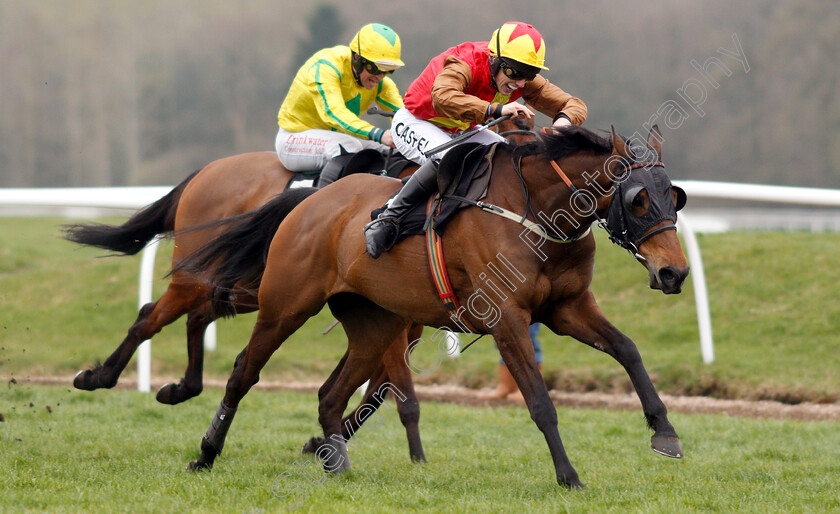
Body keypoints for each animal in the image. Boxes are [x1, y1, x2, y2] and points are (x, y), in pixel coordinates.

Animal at [184, 122, 688, 486]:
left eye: (675, 197)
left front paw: (665, 432)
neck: (536, 213)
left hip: (375, 324)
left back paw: (335, 462)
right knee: (243, 371)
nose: (675, 273)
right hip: (284, 306)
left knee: (331, 393)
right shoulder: (507, 318)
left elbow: (627, 350)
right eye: (638, 198)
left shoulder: (568, 308)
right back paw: (206, 453)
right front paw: (568, 476)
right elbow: (540, 401)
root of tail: (311, 197)